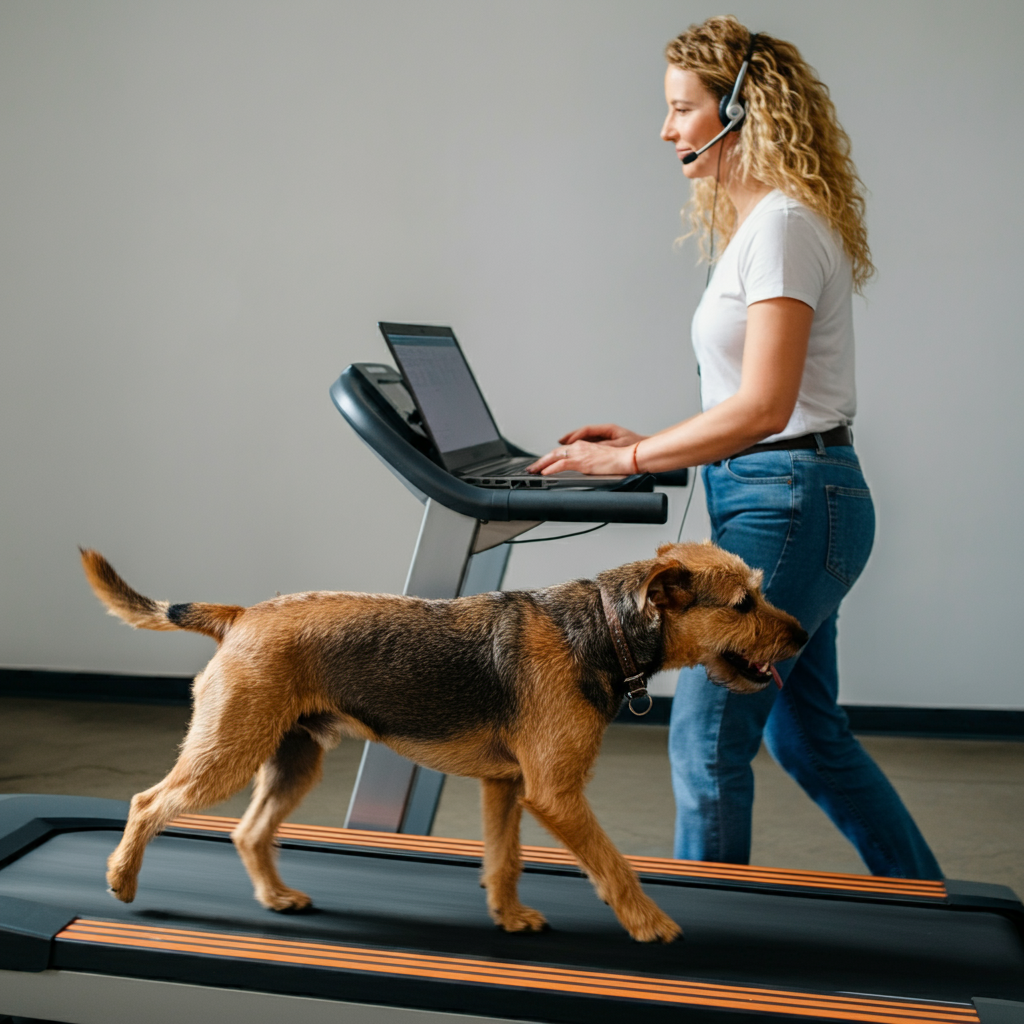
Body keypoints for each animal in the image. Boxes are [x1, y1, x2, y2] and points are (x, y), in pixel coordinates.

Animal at [79, 540, 806, 946]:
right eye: (743, 605)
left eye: (759, 594)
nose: (802, 637)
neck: (606, 627)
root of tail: (241, 615)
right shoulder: (556, 794)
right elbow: (612, 864)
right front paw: (649, 923)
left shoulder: (507, 787)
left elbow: (504, 860)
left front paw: (508, 916)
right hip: (227, 753)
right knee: (148, 803)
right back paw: (119, 880)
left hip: (293, 759)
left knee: (249, 831)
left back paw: (276, 898)